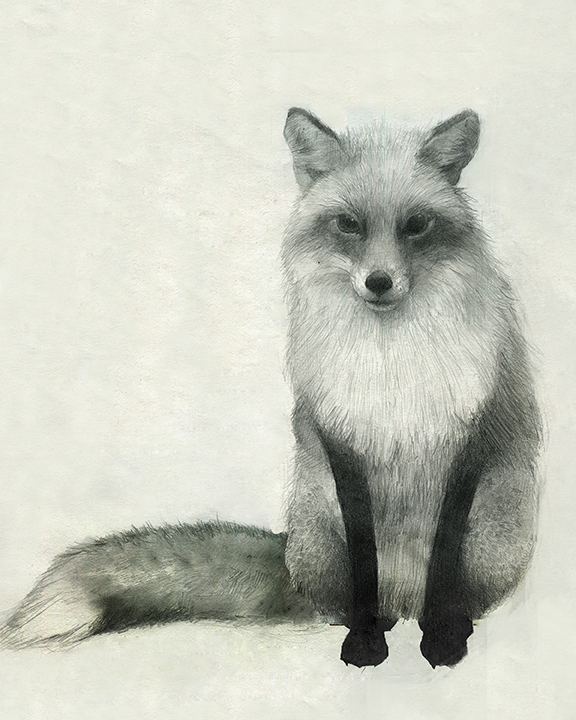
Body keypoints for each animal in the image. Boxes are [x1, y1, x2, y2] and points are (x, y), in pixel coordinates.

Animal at [1, 108, 541, 669]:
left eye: (416, 225)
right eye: (348, 224)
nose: (379, 281)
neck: (389, 367)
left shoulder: (471, 437)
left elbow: (444, 559)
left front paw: (441, 640)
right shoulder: (340, 438)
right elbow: (363, 559)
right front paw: (366, 641)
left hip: (496, 536)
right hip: (319, 533)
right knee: (344, 600)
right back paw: (378, 620)